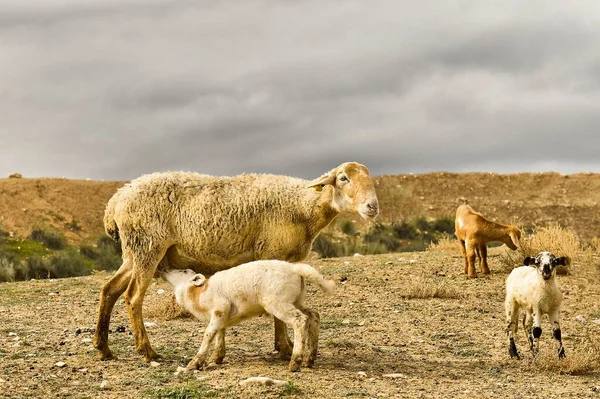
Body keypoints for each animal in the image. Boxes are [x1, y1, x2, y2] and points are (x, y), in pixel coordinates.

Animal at [91, 162, 378, 362]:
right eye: (343, 178)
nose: (372, 207)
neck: (303, 206)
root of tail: (115, 201)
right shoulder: (273, 253)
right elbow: (279, 311)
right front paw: (284, 348)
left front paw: (282, 346)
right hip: (147, 247)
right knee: (132, 297)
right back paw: (147, 351)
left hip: (134, 252)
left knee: (109, 290)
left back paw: (103, 348)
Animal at [162, 260, 336, 374]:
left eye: (184, 271)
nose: (164, 269)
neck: (197, 294)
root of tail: (295, 268)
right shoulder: (221, 315)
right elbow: (220, 332)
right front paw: (217, 357)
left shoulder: (220, 309)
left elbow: (209, 333)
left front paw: (195, 362)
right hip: (296, 300)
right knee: (314, 315)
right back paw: (309, 359)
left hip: (278, 303)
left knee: (300, 320)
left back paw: (295, 362)